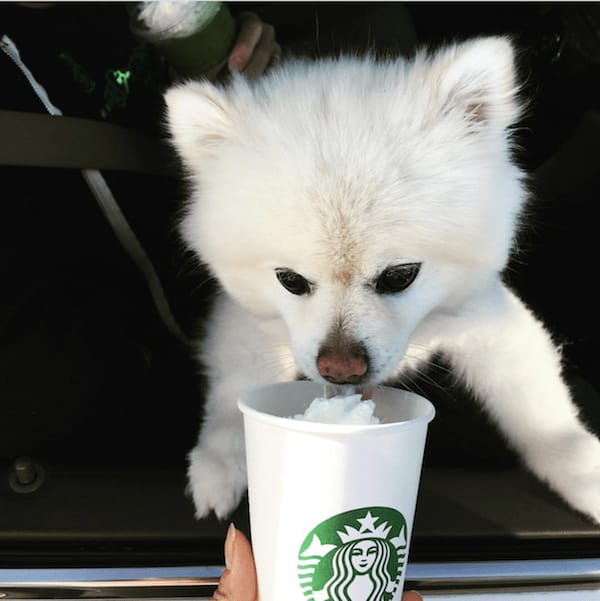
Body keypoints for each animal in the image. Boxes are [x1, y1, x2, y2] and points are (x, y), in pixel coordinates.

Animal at [164, 37, 600, 524]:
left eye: (400, 276)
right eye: (290, 280)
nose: (339, 366)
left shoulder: (483, 315)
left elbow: (540, 413)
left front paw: (583, 470)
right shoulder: (249, 322)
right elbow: (231, 393)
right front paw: (220, 463)